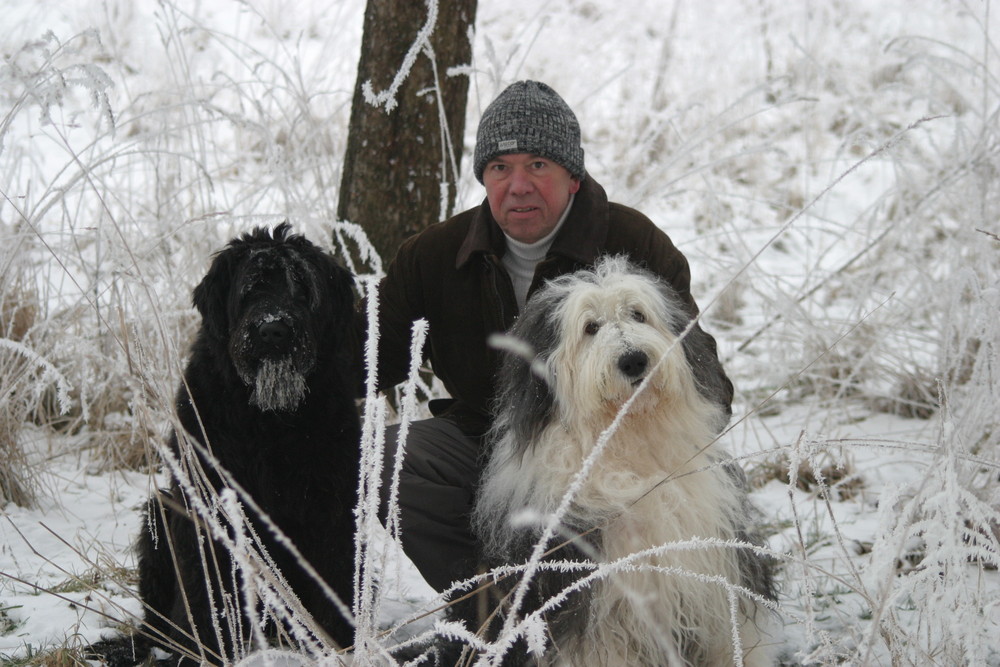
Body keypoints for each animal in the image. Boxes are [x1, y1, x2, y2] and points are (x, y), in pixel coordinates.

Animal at [90, 226, 362, 667]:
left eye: (303, 289)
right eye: (251, 289)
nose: (273, 330)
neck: (269, 420)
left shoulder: (332, 503)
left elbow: (335, 572)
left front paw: (338, 644)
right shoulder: (205, 502)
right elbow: (207, 587)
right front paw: (207, 645)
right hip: (158, 513)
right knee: (154, 620)